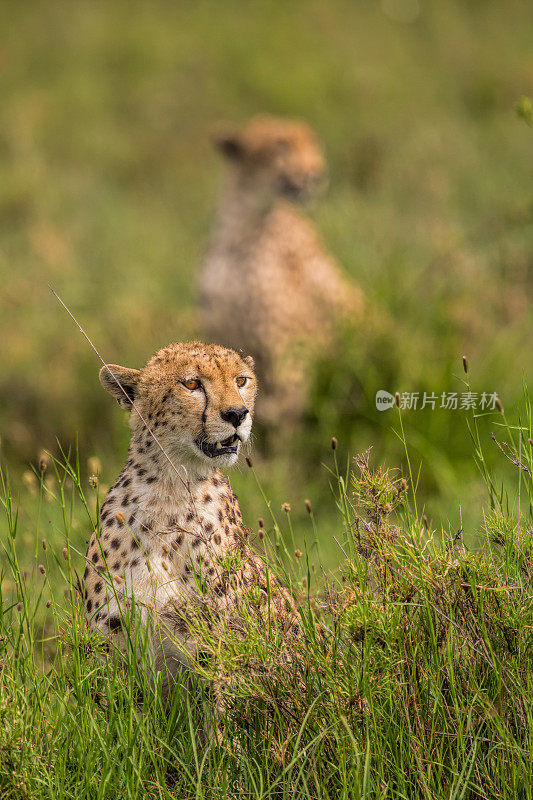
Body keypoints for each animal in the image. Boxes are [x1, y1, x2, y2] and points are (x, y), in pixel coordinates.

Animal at [197, 115, 364, 424]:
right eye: (281, 146)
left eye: (314, 145)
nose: (315, 174)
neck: (243, 225)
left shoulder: (285, 346)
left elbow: (279, 410)